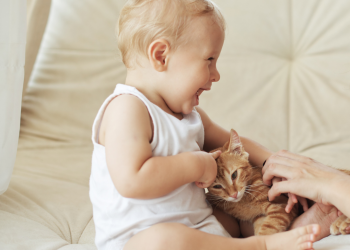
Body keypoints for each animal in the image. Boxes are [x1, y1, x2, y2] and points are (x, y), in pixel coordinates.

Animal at [206, 129, 350, 236]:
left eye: (234, 175)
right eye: (217, 186)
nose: (233, 195)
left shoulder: (281, 205)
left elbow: (267, 231)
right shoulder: (259, 217)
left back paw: (341, 223)